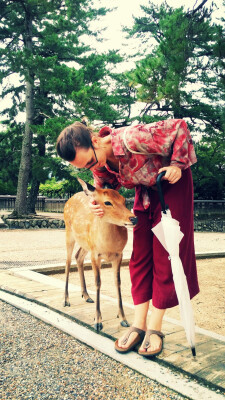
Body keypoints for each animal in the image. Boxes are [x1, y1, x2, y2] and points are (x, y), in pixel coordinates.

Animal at [62, 180, 138, 330]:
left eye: (124, 200)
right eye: (107, 202)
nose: (133, 219)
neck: (108, 246)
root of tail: (68, 200)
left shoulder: (118, 255)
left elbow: (118, 282)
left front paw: (123, 318)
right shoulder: (95, 255)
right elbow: (98, 282)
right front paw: (97, 322)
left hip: (86, 244)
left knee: (78, 256)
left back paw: (86, 296)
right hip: (69, 232)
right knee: (67, 262)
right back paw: (66, 300)